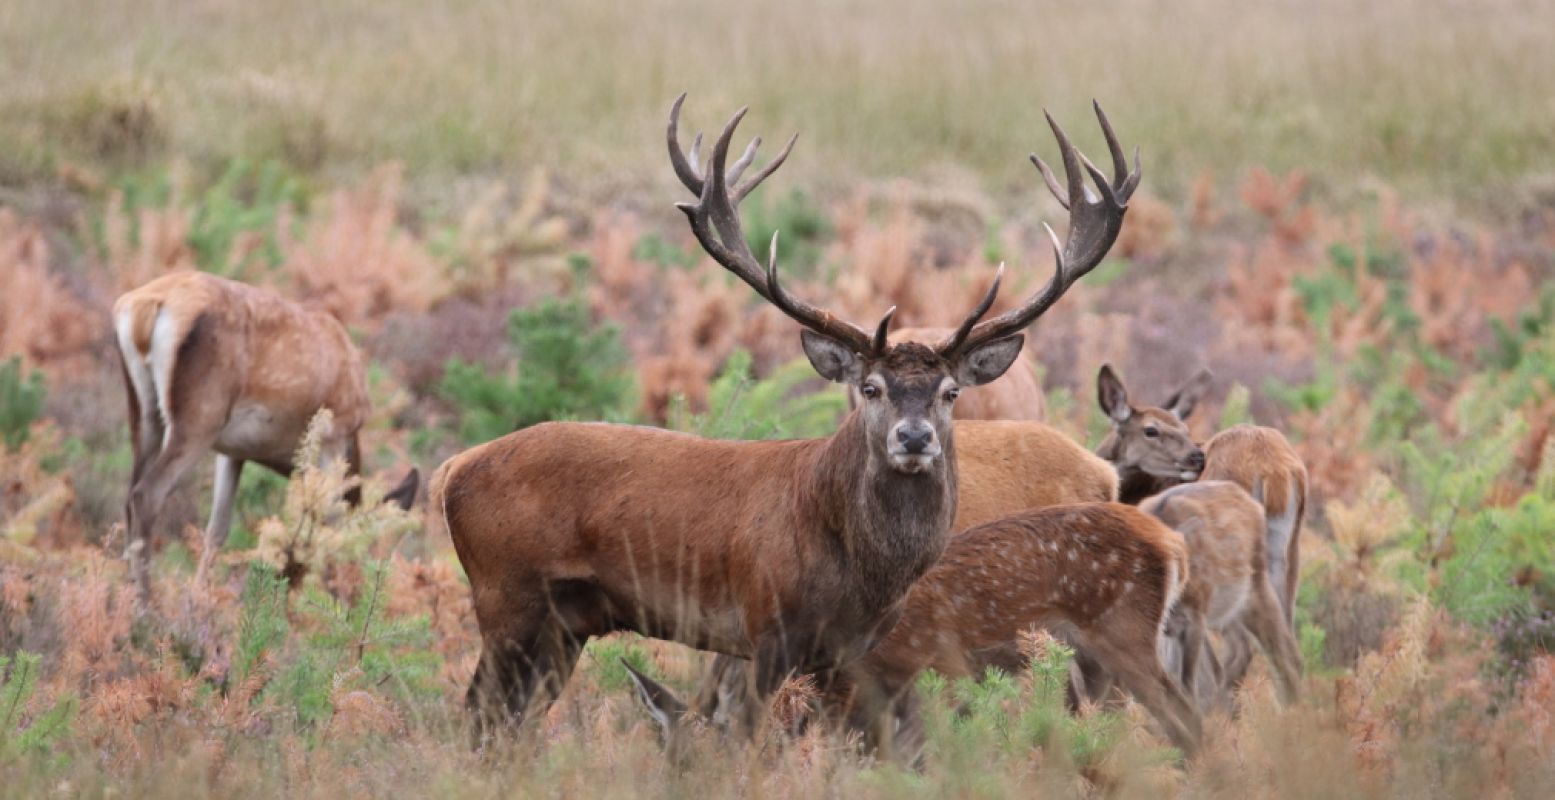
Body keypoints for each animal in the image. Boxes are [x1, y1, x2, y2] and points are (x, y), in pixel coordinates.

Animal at [113, 270, 419, 594]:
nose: (357, 588)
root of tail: (144, 306)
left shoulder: (233, 452)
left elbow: (217, 529)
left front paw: (200, 597)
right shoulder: (335, 435)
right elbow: (330, 522)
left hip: (145, 413)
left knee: (130, 494)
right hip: (199, 418)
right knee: (147, 494)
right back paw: (146, 601)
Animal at [432, 94, 1138, 740]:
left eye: (950, 393)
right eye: (871, 387)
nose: (914, 438)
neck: (858, 570)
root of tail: (453, 468)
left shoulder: (849, 649)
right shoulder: (763, 625)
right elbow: (748, 738)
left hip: (564, 622)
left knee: (510, 719)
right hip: (505, 594)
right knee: (478, 711)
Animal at [625, 501, 1194, 756]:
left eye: (696, 763)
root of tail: (1171, 542)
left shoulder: (918, 671)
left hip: (1124, 635)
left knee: (1189, 717)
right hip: (1092, 664)